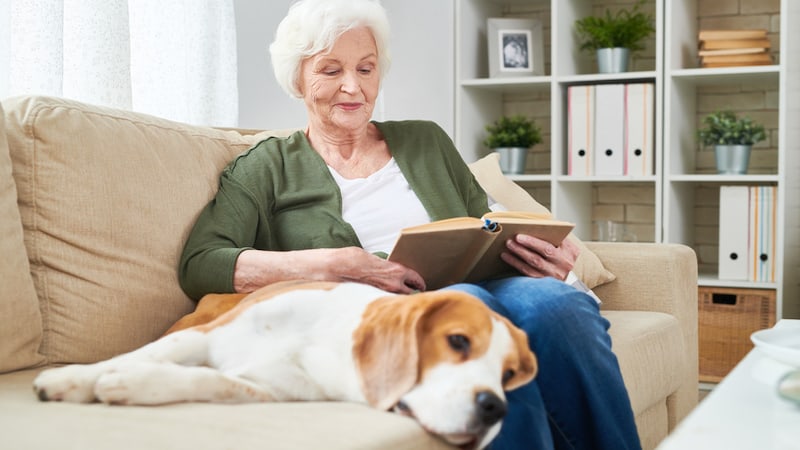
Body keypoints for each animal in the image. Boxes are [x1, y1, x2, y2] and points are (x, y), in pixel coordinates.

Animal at [32, 282, 536, 446]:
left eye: (508, 375)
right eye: (458, 341)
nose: (496, 408)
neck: (327, 346)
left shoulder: (267, 389)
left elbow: (208, 381)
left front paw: (135, 384)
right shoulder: (202, 338)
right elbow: (137, 355)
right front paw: (73, 378)